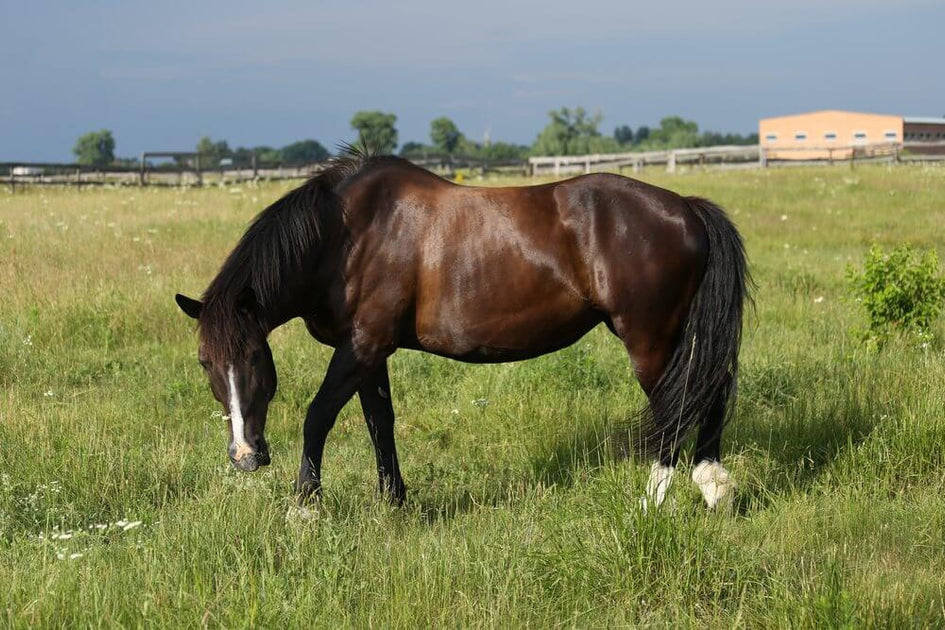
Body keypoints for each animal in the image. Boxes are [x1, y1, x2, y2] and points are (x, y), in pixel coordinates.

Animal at [177, 149, 748, 512]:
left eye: (255, 357)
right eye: (205, 363)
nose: (245, 456)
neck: (346, 236)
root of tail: (686, 208)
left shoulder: (361, 346)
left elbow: (317, 416)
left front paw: (305, 506)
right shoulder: (368, 352)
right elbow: (380, 423)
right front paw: (394, 502)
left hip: (650, 340)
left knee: (678, 406)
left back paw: (658, 498)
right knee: (710, 391)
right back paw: (714, 488)